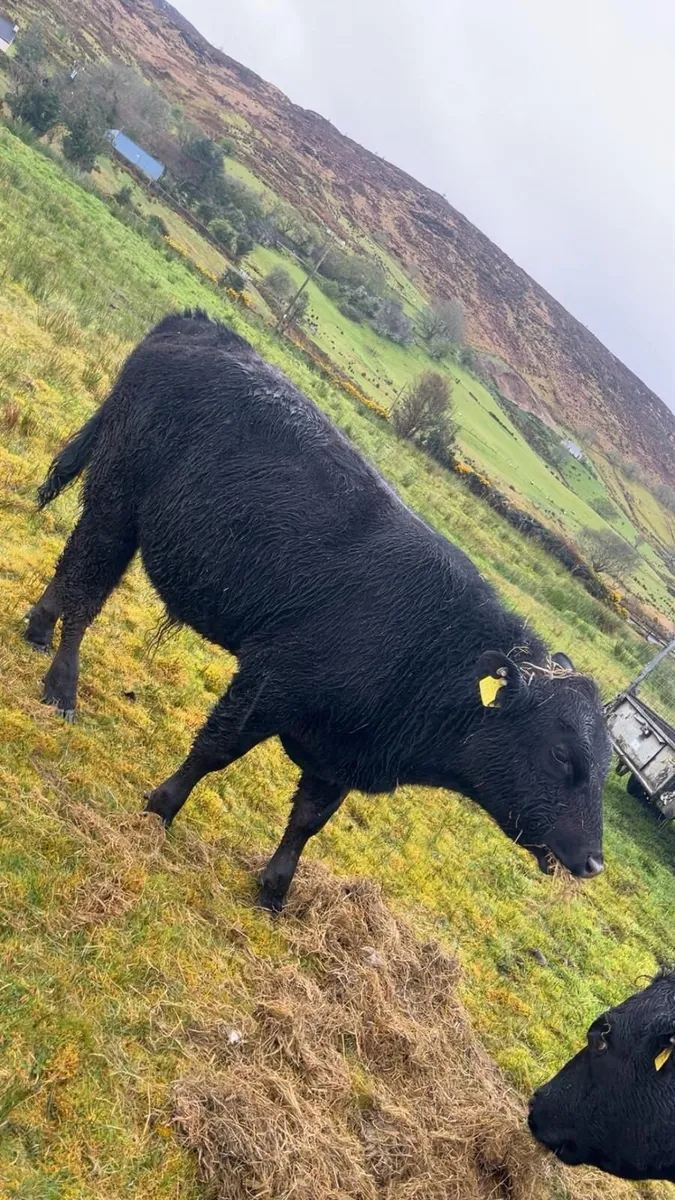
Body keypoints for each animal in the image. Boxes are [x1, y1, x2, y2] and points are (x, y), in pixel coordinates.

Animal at [25, 310, 610, 910]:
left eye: (606, 764)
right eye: (563, 754)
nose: (593, 862)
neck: (429, 645)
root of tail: (200, 327)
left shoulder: (340, 751)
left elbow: (310, 817)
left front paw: (276, 889)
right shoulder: (272, 680)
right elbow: (216, 747)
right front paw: (161, 807)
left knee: (71, 572)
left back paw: (38, 632)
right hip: (116, 503)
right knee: (85, 591)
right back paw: (62, 688)